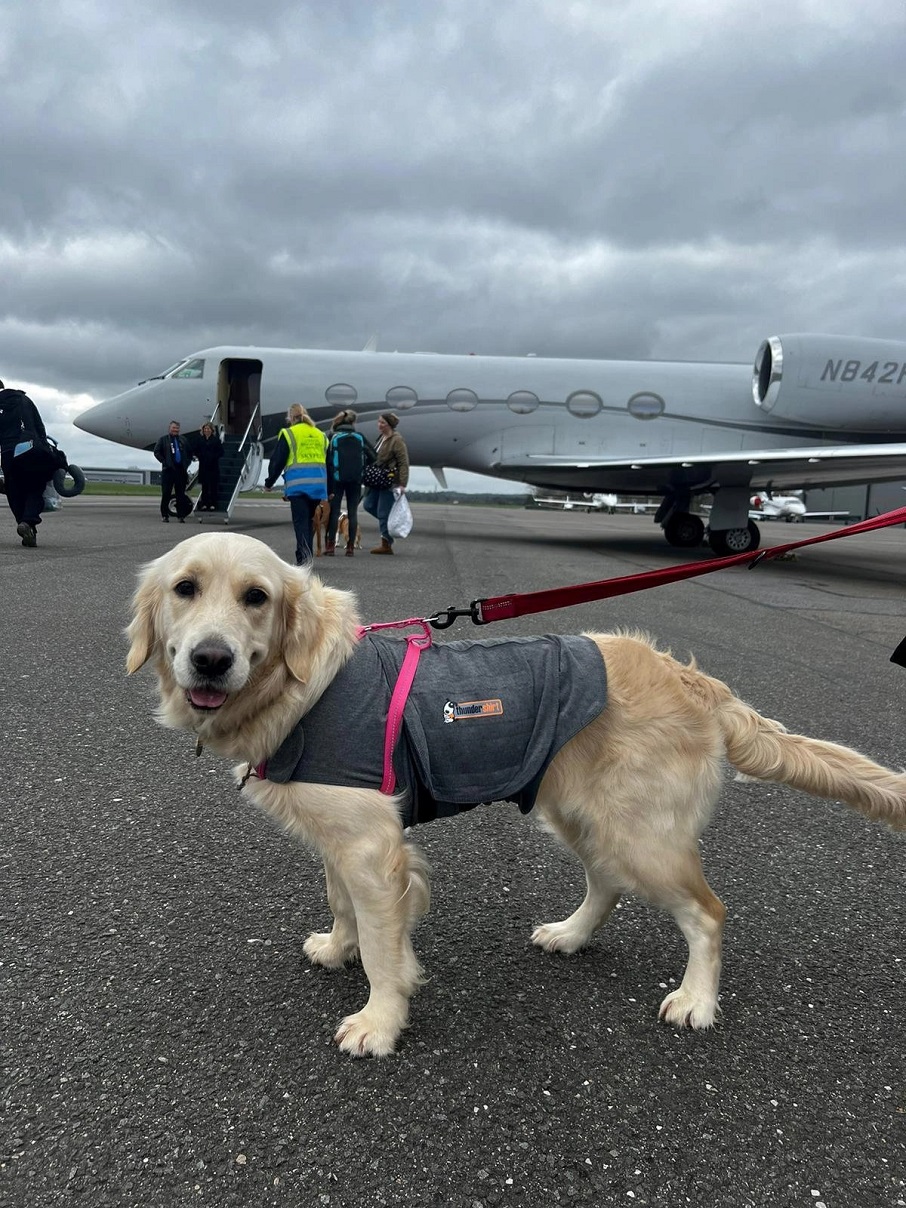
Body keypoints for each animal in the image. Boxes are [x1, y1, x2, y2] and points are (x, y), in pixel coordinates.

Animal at [128, 533, 906, 1053]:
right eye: (185, 589)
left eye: (256, 598)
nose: (211, 659)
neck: (299, 690)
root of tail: (694, 680)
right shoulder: (339, 839)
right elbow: (343, 905)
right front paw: (338, 947)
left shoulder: (373, 846)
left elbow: (383, 945)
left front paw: (379, 1020)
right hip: (577, 812)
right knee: (606, 885)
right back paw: (570, 935)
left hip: (640, 833)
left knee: (708, 914)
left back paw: (694, 1000)